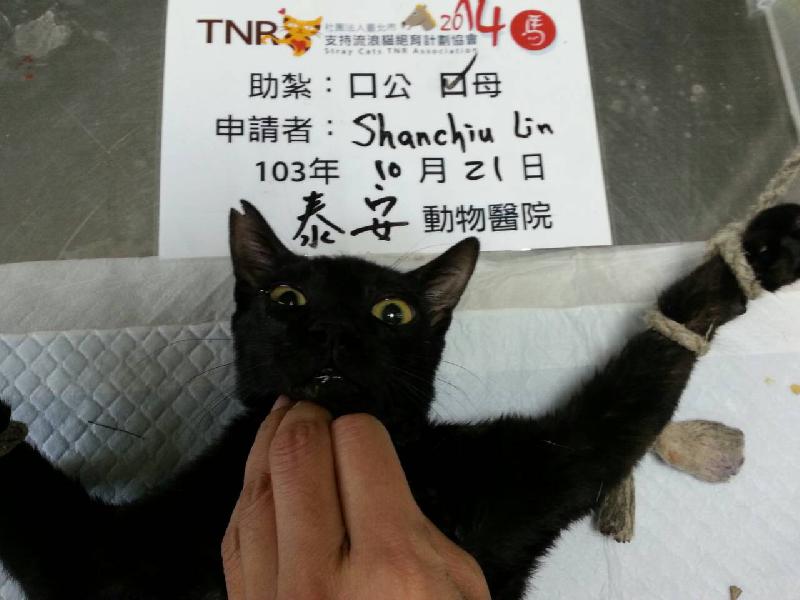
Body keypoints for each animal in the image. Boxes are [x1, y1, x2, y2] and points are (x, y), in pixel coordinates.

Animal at [0, 200, 798, 600]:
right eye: (287, 300)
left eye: (393, 312)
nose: (331, 329)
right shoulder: (111, 567)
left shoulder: (546, 470)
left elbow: (629, 395)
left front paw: (758, 255)